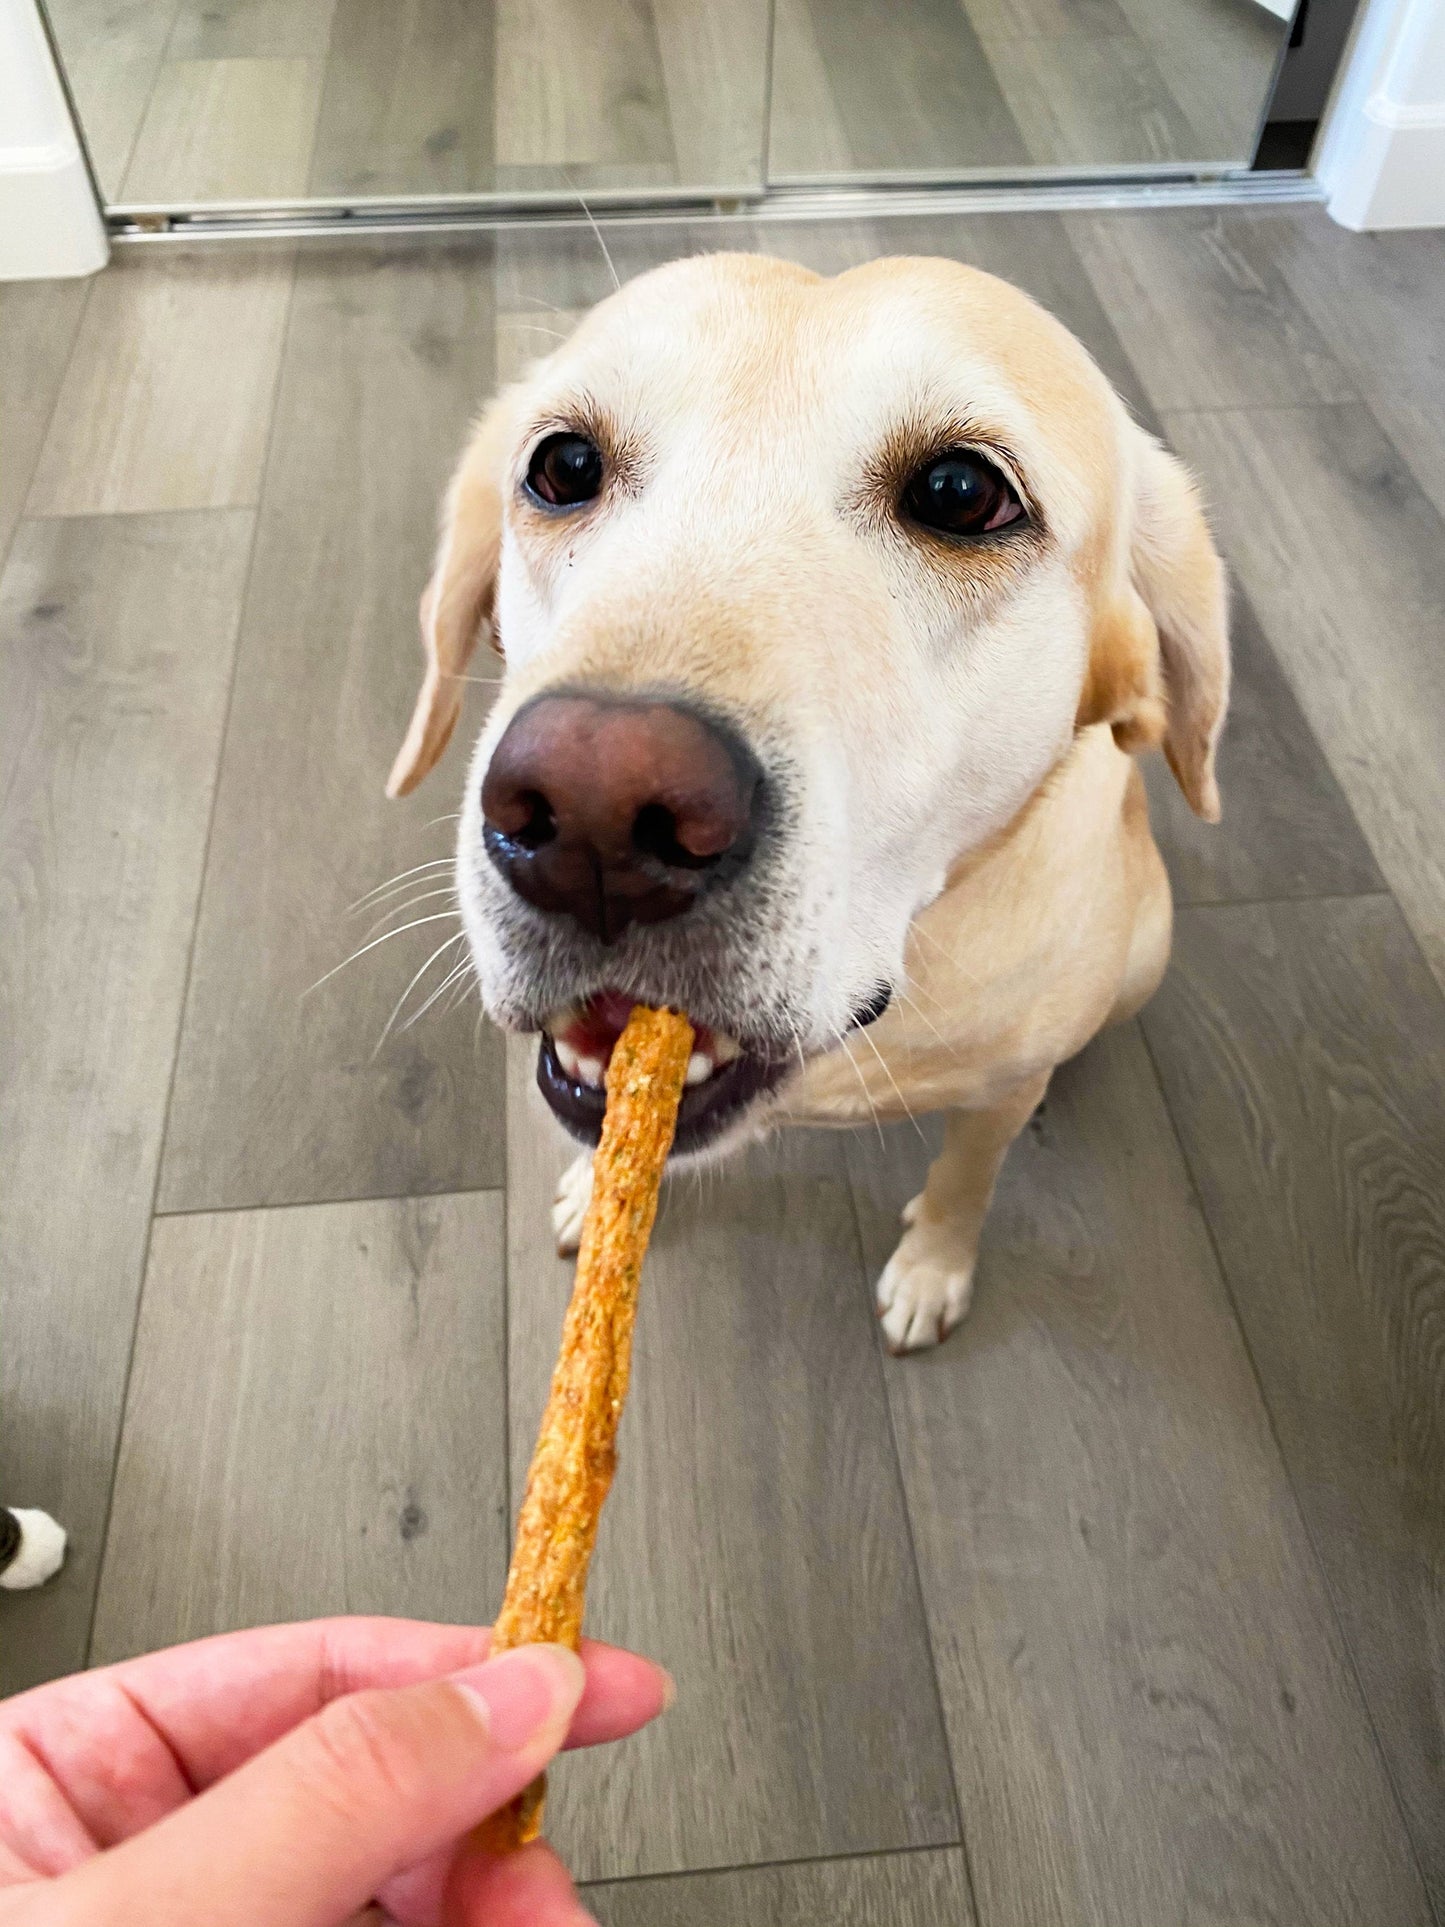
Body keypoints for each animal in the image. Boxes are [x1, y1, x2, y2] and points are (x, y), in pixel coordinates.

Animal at [391, 252, 1225, 1356]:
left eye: (961, 493)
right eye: (562, 466)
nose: (592, 811)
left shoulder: (999, 1094)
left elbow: (965, 1178)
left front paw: (931, 1269)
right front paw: (591, 1190)